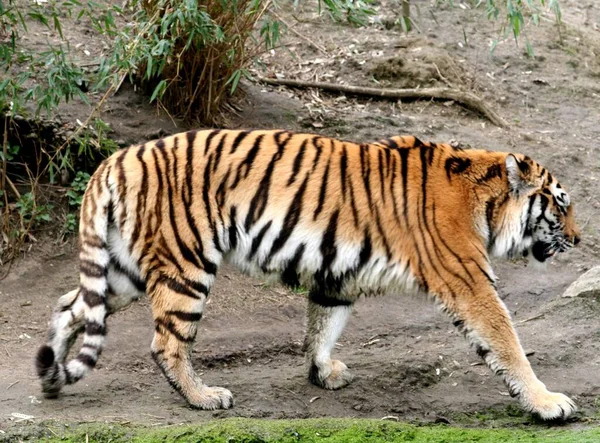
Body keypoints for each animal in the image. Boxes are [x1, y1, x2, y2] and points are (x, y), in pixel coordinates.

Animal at [35, 128, 580, 420]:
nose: (578, 239)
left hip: (123, 270)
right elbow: (507, 342)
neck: (484, 200)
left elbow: (322, 326)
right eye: (560, 205)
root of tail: (114, 160)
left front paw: (323, 373)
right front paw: (548, 402)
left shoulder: (337, 275)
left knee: (69, 306)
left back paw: (51, 377)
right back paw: (205, 397)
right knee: (165, 343)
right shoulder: (468, 281)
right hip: (185, 264)